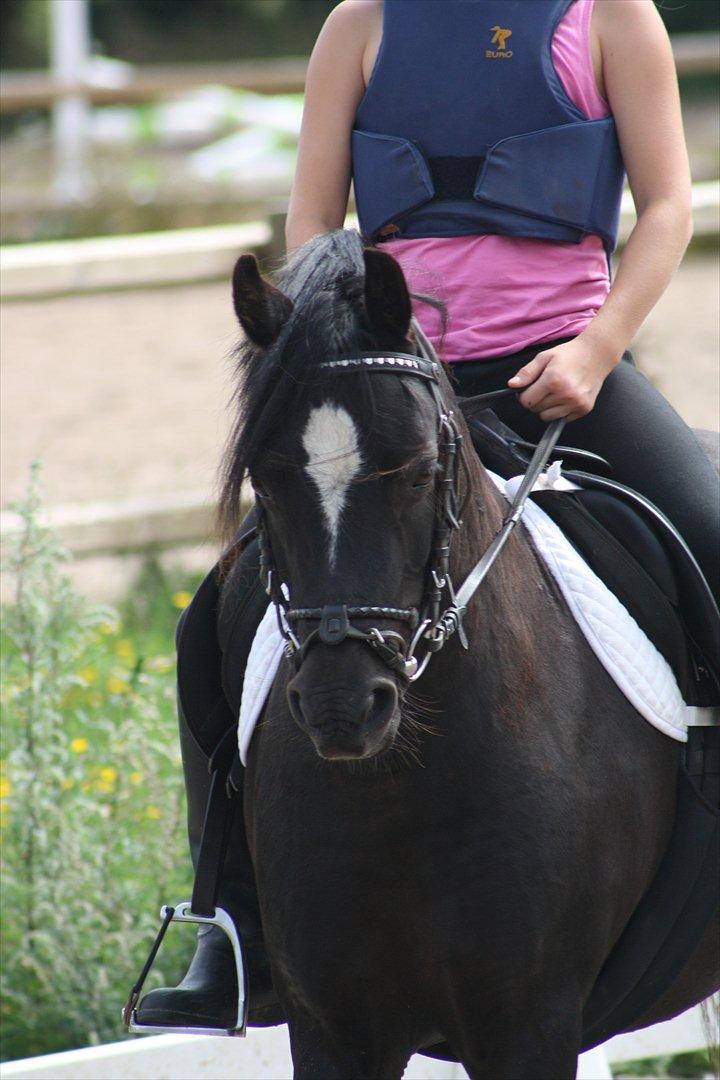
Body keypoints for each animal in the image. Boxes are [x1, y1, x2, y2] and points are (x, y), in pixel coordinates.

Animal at [218, 227, 718, 1079]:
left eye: (420, 472)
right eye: (265, 478)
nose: (343, 706)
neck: (400, 791)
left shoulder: (527, 1021)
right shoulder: (333, 1029)